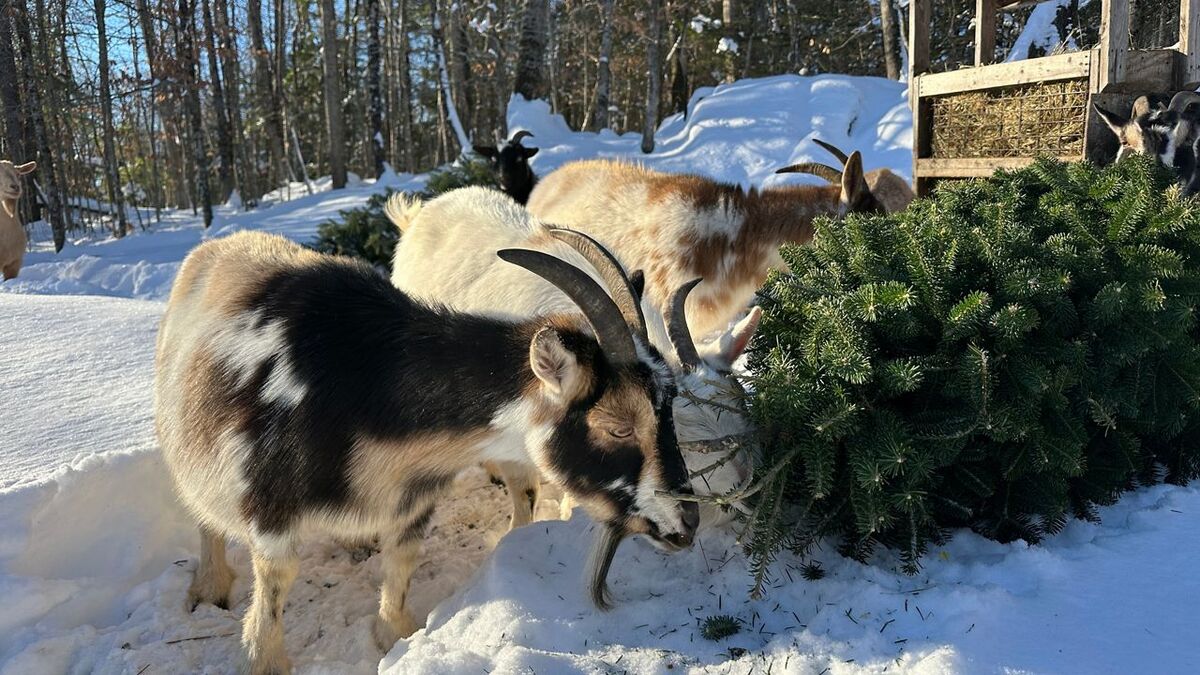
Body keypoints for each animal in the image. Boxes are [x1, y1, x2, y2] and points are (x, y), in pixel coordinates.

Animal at [156, 230, 700, 674]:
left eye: (670, 405)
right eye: (618, 427)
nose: (686, 523)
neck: (371, 396)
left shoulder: (412, 500)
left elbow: (401, 570)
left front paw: (392, 636)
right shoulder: (272, 509)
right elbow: (274, 590)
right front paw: (262, 656)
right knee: (200, 511)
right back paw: (210, 586)